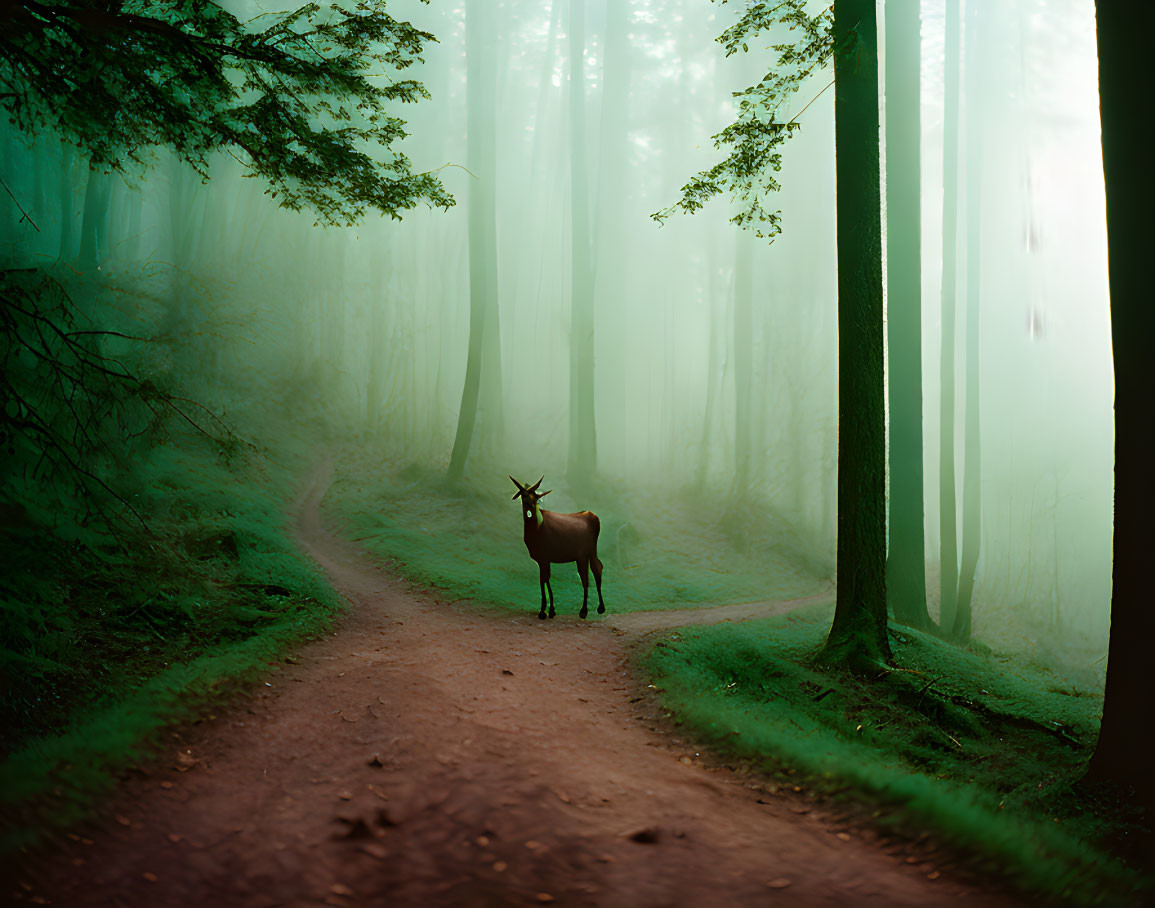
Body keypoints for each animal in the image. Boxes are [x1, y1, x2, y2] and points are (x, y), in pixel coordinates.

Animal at [512, 473, 609, 614]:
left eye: (536, 497)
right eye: (524, 495)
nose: (532, 507)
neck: (536, 528)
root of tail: (593, 517)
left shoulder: (544, 557)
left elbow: (544, 579)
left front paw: (546, 611)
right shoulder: (542, 559)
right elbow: (544, 579)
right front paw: (547, 609)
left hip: (583, 554)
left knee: (586, 576)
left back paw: (584, 610)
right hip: (590, 552)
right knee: (597, 568)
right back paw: (600, 607)